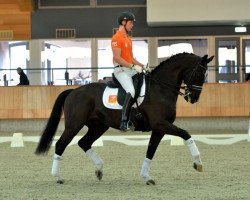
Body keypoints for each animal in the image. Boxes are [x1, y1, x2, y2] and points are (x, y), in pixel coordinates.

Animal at [35, 52, 214, 184]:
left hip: (99, 126)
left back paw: (99, 169)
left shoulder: (159, 128)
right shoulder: (161, 124)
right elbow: (186, 134)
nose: (194, 98)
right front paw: (198, 163)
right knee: (61, 144)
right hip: (74, 124)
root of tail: (73, 91)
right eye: (199, 73)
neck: (160, 88)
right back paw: (57, 177)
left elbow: (151, 150)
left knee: (84, 142)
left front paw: (146, 177)